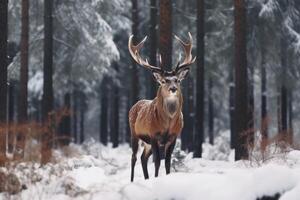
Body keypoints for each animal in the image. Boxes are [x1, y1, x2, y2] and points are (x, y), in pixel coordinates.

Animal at [128, 32, 196, 181]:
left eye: (177, 80)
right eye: (164, 81)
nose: (173, 88)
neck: (168, 123)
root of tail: (134, 105)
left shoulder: (174, 137)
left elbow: (168, 162)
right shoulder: (153, 135)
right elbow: (158, 162)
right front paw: (156, 179)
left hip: (146, 142)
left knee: (143, 158)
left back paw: (147, 178)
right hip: (134, 133)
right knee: (134, 157)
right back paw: (132, 181)